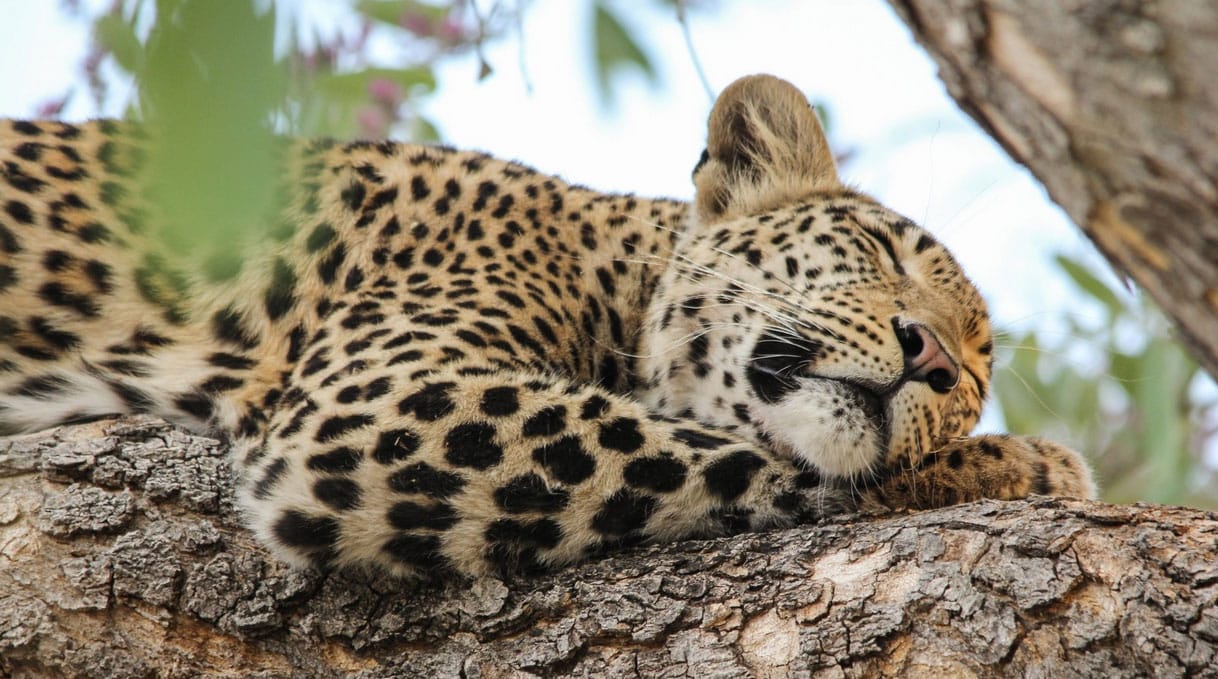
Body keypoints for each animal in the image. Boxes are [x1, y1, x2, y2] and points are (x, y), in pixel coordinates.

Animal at [0, 76, 1101, 580]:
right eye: (880, 247)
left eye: (974, 378)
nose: (932, 358)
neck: (611, 262)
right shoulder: (385, 403)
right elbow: (771, 458)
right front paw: (1027, 465)